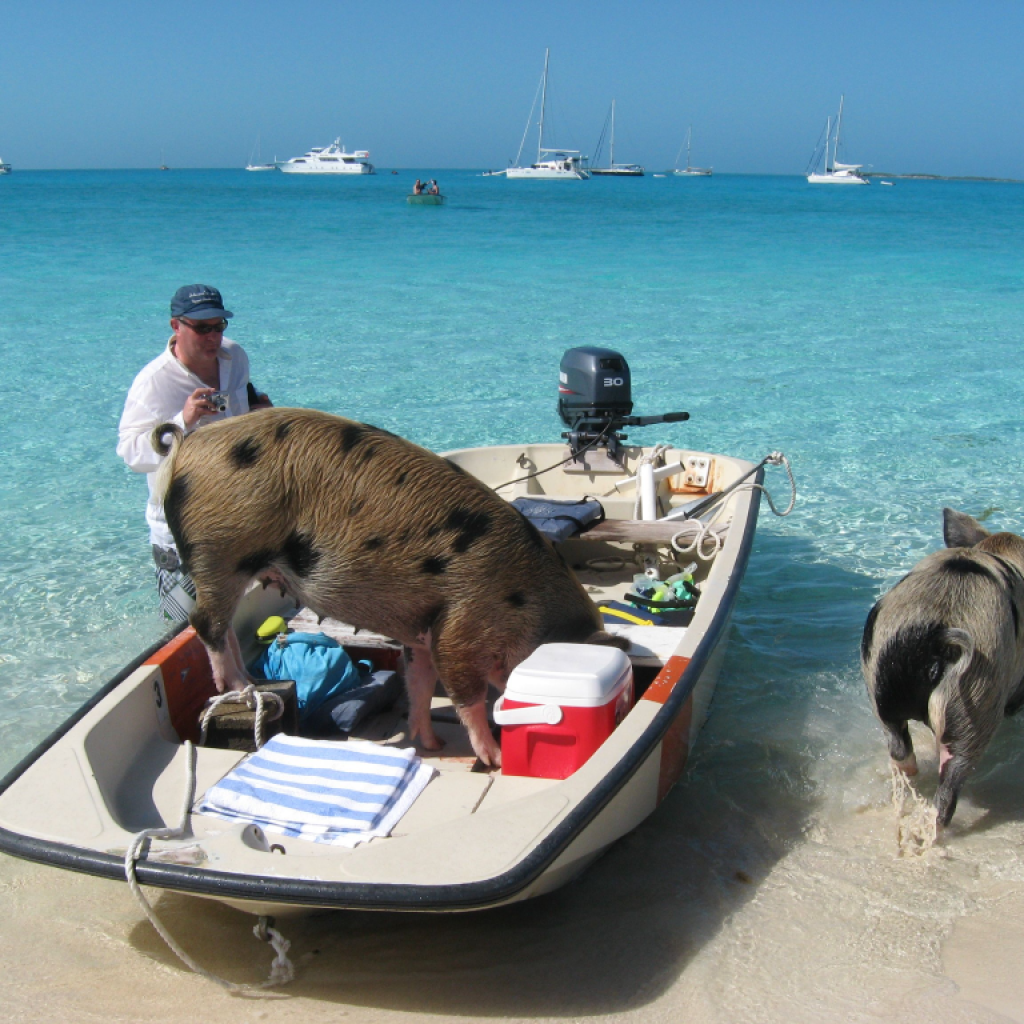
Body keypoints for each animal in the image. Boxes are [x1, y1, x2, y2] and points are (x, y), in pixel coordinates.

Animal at [151, 408, 625, 767]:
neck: (528, 605)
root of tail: (185, 445)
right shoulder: (462, 627)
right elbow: (465, 694)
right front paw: (492, 758)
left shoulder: (423, 631)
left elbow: (419, 682)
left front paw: (430, 743)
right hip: (221, 549)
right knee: (205, 622)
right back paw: (238, 687)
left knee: (223, 626)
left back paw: (249, 680)